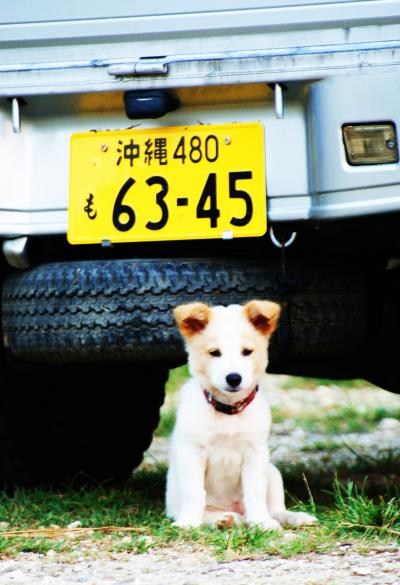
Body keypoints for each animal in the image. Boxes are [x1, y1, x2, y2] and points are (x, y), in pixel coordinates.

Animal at [166, 302, 316, 528]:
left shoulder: (255, 453)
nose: (234, 378)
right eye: (214, 353)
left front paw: (262, 522)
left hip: (272, 471)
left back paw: (294, 517)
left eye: (247, 351)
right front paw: (188, 523)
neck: (229, 411)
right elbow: (194, 492)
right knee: (212, 514)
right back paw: (224, 519)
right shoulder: (192, 452)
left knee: (276, 510)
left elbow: (255, 492)